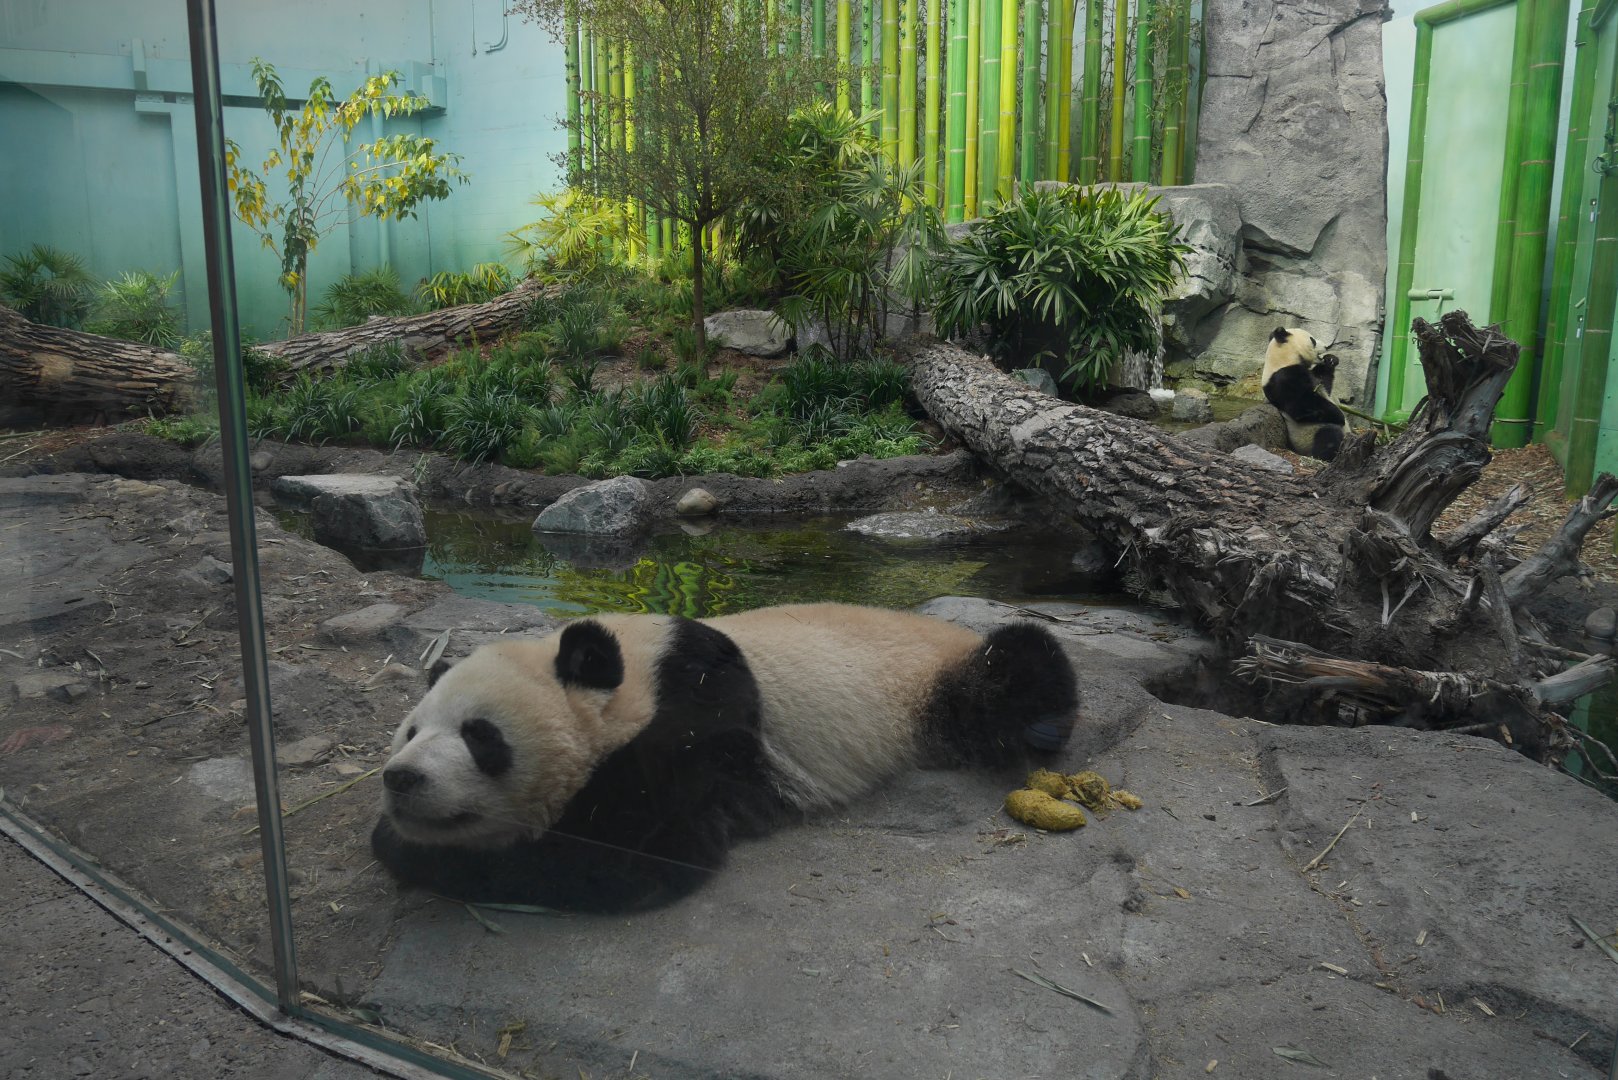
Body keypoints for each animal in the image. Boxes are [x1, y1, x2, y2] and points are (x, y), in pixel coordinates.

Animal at [371, 603, 1079, 913]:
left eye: (480, 736)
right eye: (410, 732)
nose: (401, 779)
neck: (636, 671)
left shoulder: (703, 708)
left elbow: (637, 854)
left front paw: (437, 856)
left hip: (932, 687)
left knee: (1019, 663)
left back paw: (1040, 719)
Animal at [1261, 326, 1347, 461]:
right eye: (1312, 340)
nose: (1326, 346)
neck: (1283, 359)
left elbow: (1324, 385)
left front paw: (1331, 360)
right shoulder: (1283, 378)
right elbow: (1301, 405)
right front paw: (1340, 415)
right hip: (1306, 437)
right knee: (1329, 435)